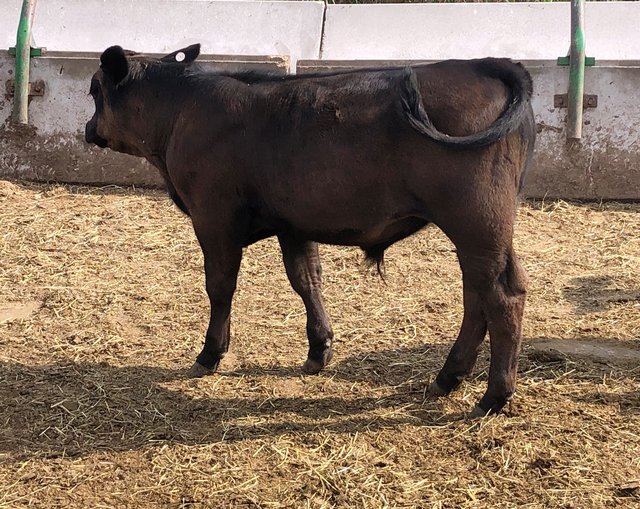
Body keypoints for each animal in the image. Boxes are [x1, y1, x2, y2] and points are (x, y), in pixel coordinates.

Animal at [85, 43, 535, 417]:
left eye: (93, 91)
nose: (88, 129)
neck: (182, 110)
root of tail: (484, 64)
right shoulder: (293, 222)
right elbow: (306, 279)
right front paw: (319, 348)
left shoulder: (214, 219)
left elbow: (220, 287)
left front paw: (210, 354)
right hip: (489, 231)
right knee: (482, 292)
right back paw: (448, 377)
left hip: (475, 219)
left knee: (500, 297)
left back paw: (494, 396)